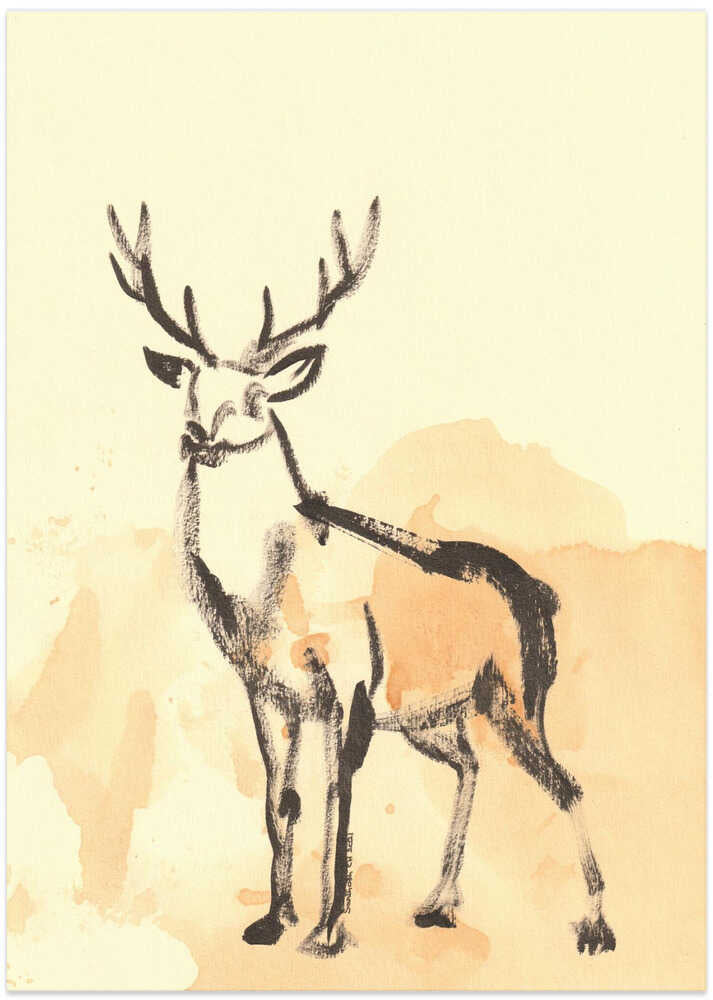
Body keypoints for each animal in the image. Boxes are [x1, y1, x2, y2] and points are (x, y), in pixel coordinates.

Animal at [107, 198, 616, 959]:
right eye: (192, 388)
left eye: (257, 396)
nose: (197, 437)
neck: (264, 604)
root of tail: (541, 593)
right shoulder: (265, 689)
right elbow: (278, 800)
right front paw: (270, 922)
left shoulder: (346, 682)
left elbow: (335, 797)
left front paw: (326, 930)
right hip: (431, 712)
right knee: (471, 764)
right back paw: (437, 904)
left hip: (517, 690)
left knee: (566, 782)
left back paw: (595, 926)